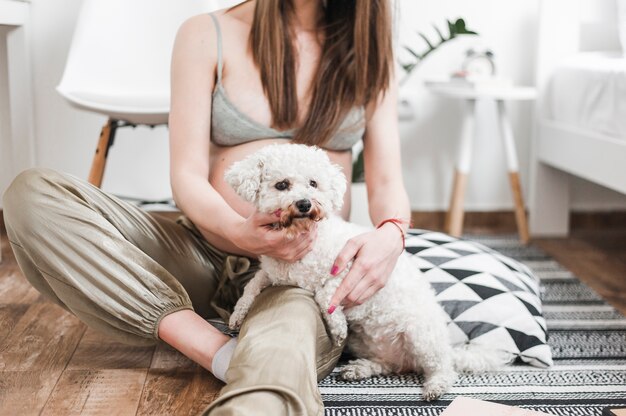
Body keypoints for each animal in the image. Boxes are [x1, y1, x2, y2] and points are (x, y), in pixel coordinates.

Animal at [223, 142, 502, 400]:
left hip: (421, 334)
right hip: (370, 345)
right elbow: (251, 286)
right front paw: (237, 316)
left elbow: (325, 294)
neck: (302, 237)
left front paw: (337, 326)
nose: (304, 204)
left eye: (313, 183)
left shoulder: (348, 268)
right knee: (389, 365)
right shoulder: (272, 273)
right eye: (282, 185)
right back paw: (360, 369)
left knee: (443, 367)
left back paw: (436, 385)